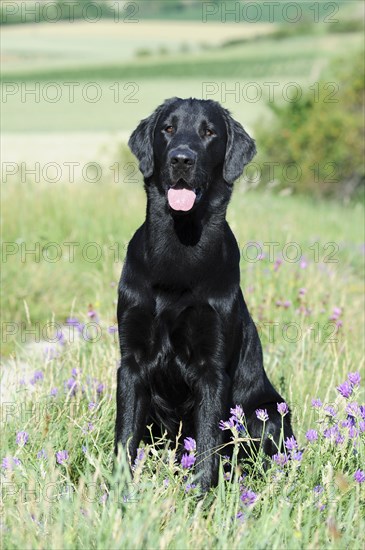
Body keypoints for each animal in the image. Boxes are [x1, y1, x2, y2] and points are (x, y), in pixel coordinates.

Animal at [115, 98, 294, 492]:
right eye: (167, 128)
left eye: (209, 132)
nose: (182, 159)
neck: (180, 245)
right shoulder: (131, 362)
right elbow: (124, 437)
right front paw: (114, 489)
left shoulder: (212, 368)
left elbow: (209, 443)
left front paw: (199, 496)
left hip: (269, 412)